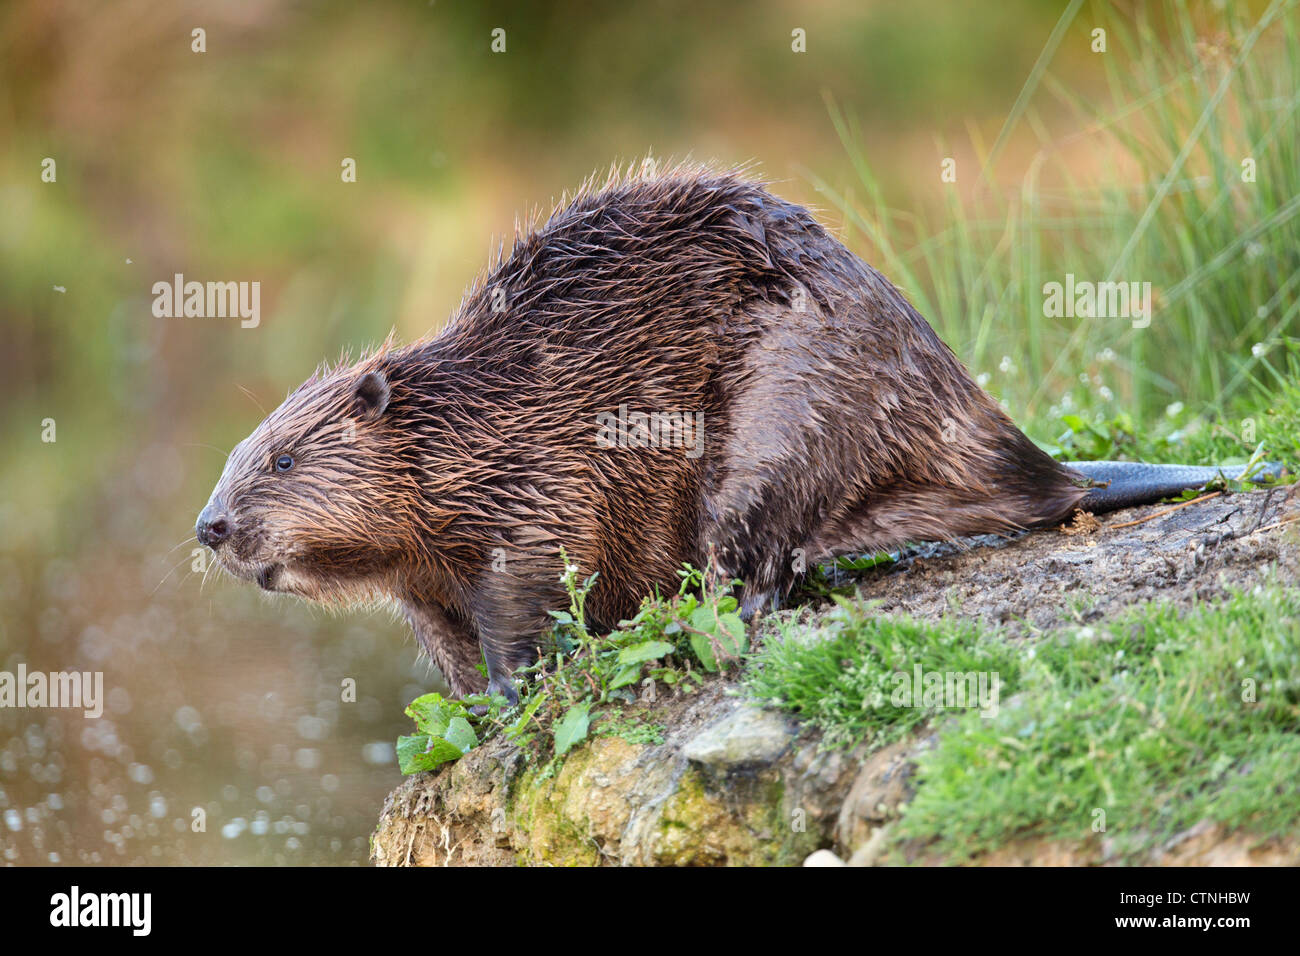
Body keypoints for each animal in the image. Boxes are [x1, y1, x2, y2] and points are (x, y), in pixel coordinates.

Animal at [197, 162, 1274, 702]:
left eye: (283, 458)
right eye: (236, 457)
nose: (210, 527)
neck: (471, 420)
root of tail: (1051, 476)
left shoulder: (534, 486)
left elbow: (525, 596)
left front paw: (510, 695)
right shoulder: (424, 573)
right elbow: (448, 640)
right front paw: (467, 711)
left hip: (782, 413)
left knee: (760, 559)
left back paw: (696, 619)